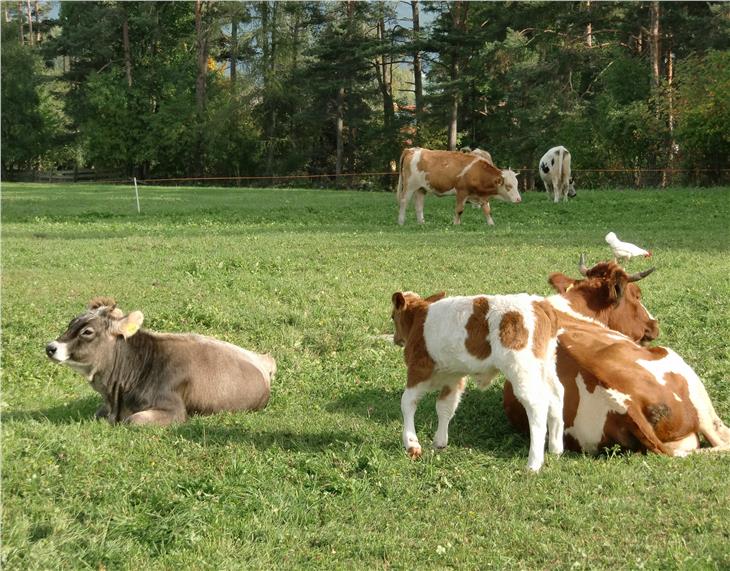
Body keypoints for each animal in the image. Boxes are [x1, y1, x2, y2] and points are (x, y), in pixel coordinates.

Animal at [45, 300, 274, 424]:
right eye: (71, 323)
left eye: (87, 331)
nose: (50, 347)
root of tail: (263, 359)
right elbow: (97, 413)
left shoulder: (174, 410)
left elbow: (133, 420)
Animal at [390, 292, 560, 472]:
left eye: (393, 316)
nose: (396, 339)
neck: (418, 320)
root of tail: (539, 303)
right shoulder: (453, 377)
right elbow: (445, 407)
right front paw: (440, 442)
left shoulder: (418, 369)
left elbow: (407, 402)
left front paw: (411, 444)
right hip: (547, 367)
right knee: (556, 397)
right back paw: (555, 449)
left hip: (522, 369)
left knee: (537, 406)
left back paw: (533, 464)